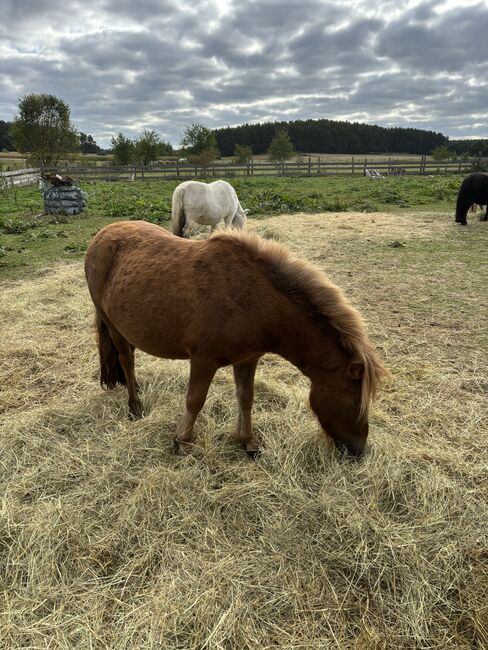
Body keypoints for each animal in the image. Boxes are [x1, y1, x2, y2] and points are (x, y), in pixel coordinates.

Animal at [85, 221, 388, 456]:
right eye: (355, 403)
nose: (359, 451)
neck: (254, 301)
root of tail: (102, 235)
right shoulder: (203, 360)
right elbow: (195, 400)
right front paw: (182, 441)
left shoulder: (247, 360)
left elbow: (246, 398)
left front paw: (247, 442)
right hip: (112, 325)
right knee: (126, 359)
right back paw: (134, 406)